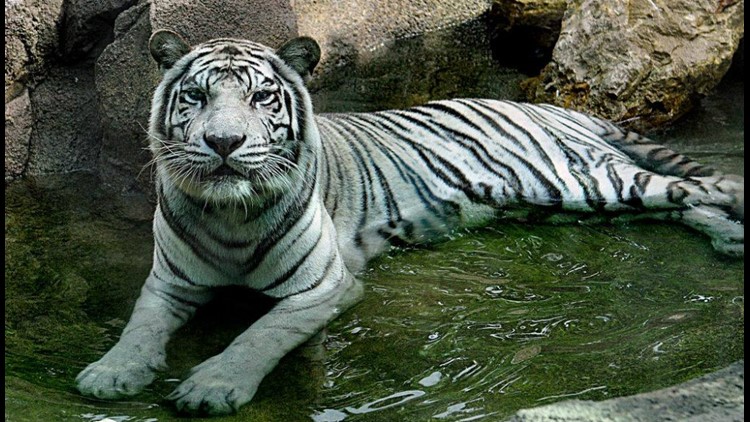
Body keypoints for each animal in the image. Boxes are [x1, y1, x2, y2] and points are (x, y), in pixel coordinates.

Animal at [75, 29, 744, 415]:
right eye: (196, 96)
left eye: (262, 97)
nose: (222, 142)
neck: (230, 213)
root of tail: (556, 107)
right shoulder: (169, 283)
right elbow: (140, 326)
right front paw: (111, 374)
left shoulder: (323, 287)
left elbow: (258, 334)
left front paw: (212, 386)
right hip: (574, 200)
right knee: (683, 201)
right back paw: (729, 238)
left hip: (577, 180)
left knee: (707, 186)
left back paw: (735, 224)